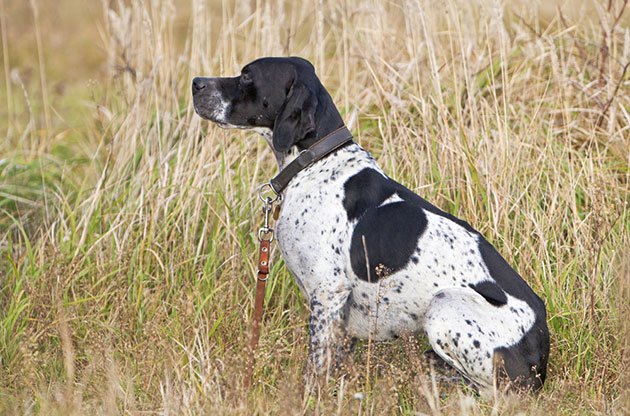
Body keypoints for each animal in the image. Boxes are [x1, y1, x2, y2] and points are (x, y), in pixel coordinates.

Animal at [191, 57, 548, 392]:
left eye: (247, 76)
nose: (196, 83)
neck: (317, 162)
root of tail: (541, 356)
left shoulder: (327, 291)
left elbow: (315, 366)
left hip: (444, 305)